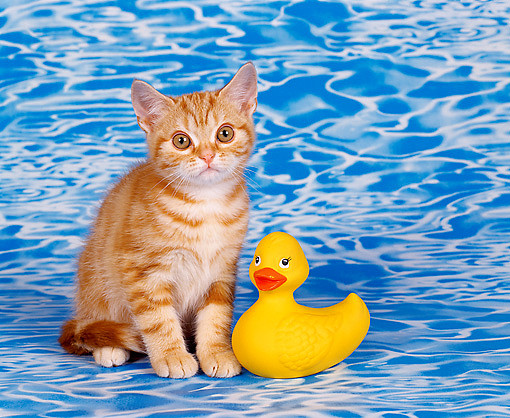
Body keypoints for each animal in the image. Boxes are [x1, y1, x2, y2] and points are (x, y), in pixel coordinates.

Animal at [59, 62, 256, 378]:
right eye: (181, 140)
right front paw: (172, 355)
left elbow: (217, 316)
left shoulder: (222, 269)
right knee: (92, 326)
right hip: (95, 281)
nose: (208, 156)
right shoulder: (141, 271)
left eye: (225, 134)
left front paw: (216, 352)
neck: (205, 204)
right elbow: (158, 319)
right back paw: (110, 348)